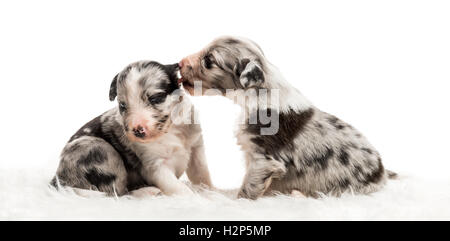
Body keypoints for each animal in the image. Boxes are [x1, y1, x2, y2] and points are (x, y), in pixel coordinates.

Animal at [51, 61, 214, 197]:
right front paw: (199, 200)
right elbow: (180, 189)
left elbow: (202, 175)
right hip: (98, 149)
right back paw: (147, 191)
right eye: (122, 106)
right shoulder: (156, 166)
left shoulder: (196, 149)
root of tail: (58, 180)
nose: (137, 130)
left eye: (155, 98)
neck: (170, 131)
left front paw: (212, 192)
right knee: (117, 193)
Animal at [179, 35, 398, 200]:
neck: (260, 93)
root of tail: (382, 173)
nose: (179, 63)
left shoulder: (264, 160)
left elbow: (249, 187)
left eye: (209, 61)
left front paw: (237, 202)